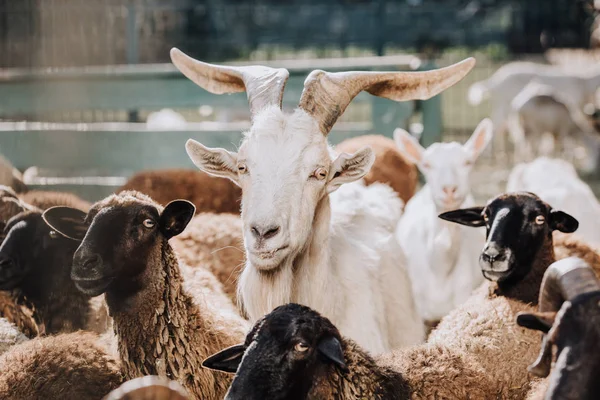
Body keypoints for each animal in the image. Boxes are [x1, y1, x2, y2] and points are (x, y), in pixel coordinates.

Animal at [394, 117, 492, 324]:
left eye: (467, 162)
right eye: (426, 164)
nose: (449, 189)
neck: (440, 268)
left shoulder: (461, 296)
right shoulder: (420, 311)